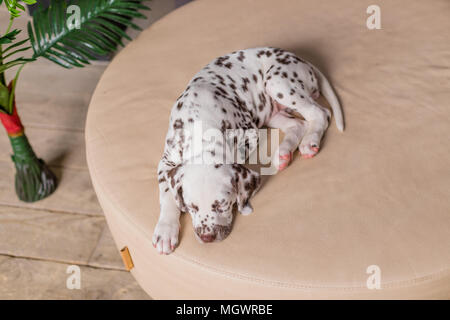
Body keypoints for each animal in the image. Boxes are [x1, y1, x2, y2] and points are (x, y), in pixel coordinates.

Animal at [153, 46, 342, 254]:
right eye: (192, 207)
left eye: (221, 205)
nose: (207, 237)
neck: (199, 123)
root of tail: (300, 58)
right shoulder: (166, 161)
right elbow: (167, 194)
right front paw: (165, 229)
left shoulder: (250, 133)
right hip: (272, 112)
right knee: (298, 125)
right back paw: (283, 154)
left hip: (278, 82)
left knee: (320, 113)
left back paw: (310, 142)